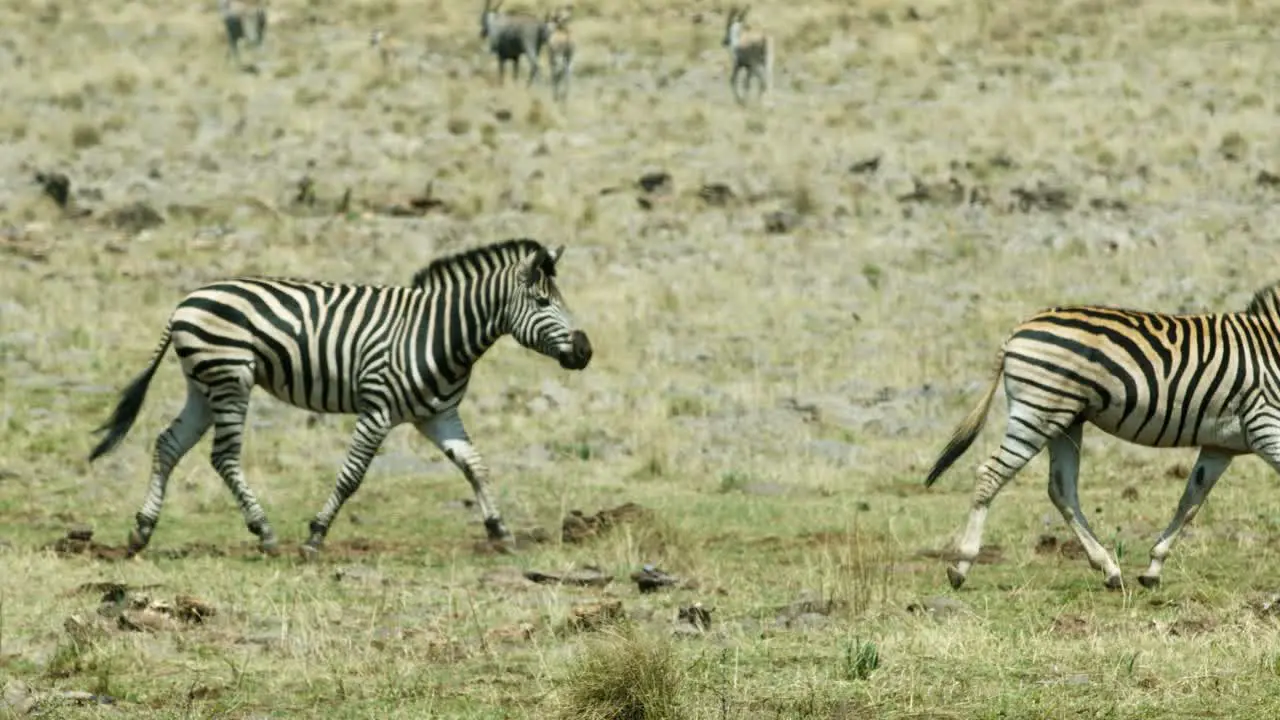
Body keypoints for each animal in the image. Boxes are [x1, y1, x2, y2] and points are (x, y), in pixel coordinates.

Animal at [87, 238, 596, 558]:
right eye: (544, 303)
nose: (586, 351)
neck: (440, 334)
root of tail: (184, 303)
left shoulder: (438, 415)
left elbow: (475, 465)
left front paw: (500, 531)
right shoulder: (378, 409)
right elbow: (351, 477)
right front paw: (315, 536)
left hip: (203, 384)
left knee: (169, 444)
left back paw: (141, 531)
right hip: (231, 376)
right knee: (223, 456)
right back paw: (266, 534)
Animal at [926, 280, 1280, 589]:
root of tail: (1017, 331)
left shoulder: (1220, 445)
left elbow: (1190, 501)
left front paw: (1153, 568)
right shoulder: (1266, 424)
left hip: (1065, 419)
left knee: (1061, 489)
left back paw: (1108, 569)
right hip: (1038, 410)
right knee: (990, 474)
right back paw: (961, 566)